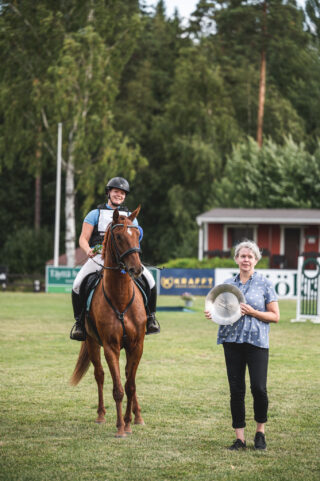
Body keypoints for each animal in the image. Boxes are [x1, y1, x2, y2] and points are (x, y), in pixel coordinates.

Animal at [70, 204, 147, 436]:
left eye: (136, 235)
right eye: (119, 237)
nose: (136, 269)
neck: (120, 300)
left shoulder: (136, 345)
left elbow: (130, 385)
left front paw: (130, 422)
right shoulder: (110, 346)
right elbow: (118, 389)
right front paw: (121, 427)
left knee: (128, 377)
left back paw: (137, 416)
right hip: (92, 342)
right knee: (100, 375)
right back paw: (101, 415)